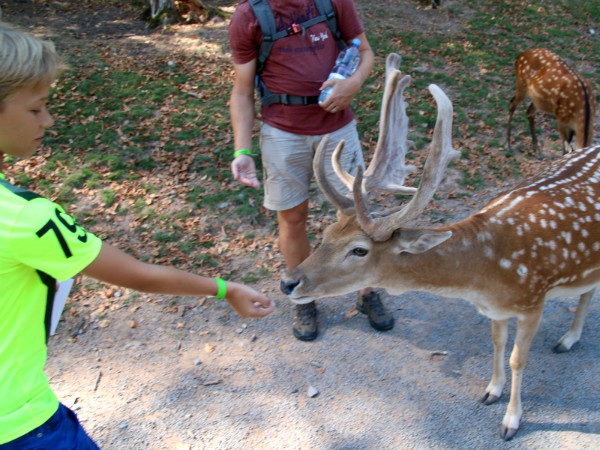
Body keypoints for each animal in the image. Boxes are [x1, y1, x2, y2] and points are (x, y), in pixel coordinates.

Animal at [282, 54, 600, 442]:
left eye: (359, 250)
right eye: (327, 232)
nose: (289, 282)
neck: (486, 273)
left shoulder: (532, 300)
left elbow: (517, 358)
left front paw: (511, 421)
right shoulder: (495, 309)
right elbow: (496, 344)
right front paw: (491, 391)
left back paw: (567, 339)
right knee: (589, 288)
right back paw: (570, 338)